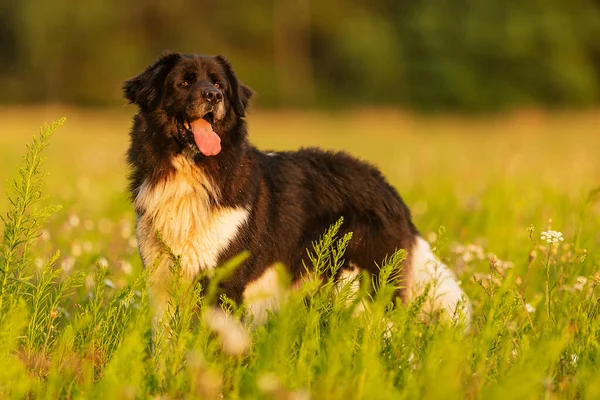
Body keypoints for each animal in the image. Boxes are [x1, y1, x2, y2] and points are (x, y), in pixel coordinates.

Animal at [120, 50, 468, 324]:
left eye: (219, 85)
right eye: (184, 83)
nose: (213, 97)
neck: (192, 173)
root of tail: (388, 188)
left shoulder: (225, 282)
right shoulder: (162, 282)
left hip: (367, 285)